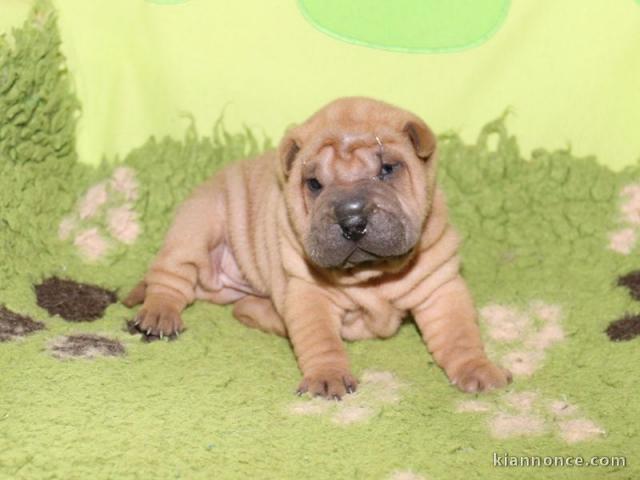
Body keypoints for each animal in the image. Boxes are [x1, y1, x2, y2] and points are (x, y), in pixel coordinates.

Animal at [125, 96, 512, 398]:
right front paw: (327, 377)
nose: (352, 219)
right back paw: (159, 314)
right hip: (197, 227)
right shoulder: (309, 292)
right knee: (170, 279)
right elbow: (320, 338)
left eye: (387, 169)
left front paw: (479, 369)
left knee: (242, 309)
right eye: (314, 183)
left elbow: (459, 335)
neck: (371, 274)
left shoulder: (440, 286)